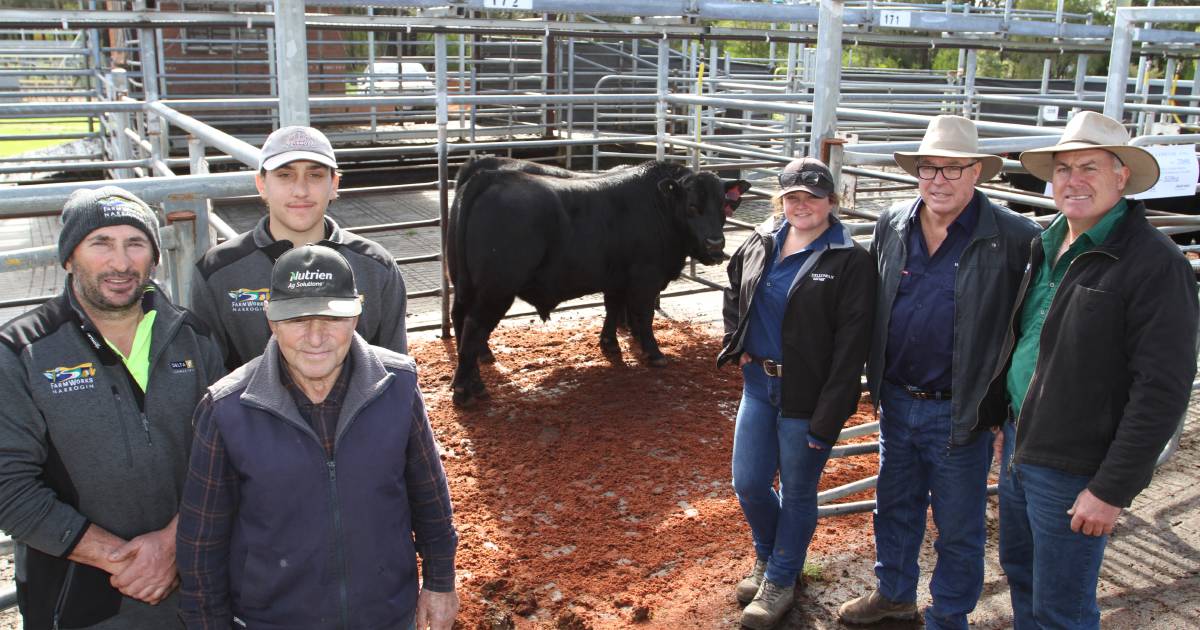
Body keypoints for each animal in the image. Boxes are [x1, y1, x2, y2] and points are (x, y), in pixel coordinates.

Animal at [451, 162, 748, 405]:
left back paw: (472, 383)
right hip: (495, 291)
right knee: (473, 329)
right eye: (692, 207)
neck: (658, 206)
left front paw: (609, 344)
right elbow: (644, 316)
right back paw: (465, 391)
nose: (715, 244)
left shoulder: (616, 278)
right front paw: (654, 353)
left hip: (465, 288)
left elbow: (612, 308)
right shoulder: (646, 277)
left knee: (461, 323)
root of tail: (489, 176)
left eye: (723, 206)